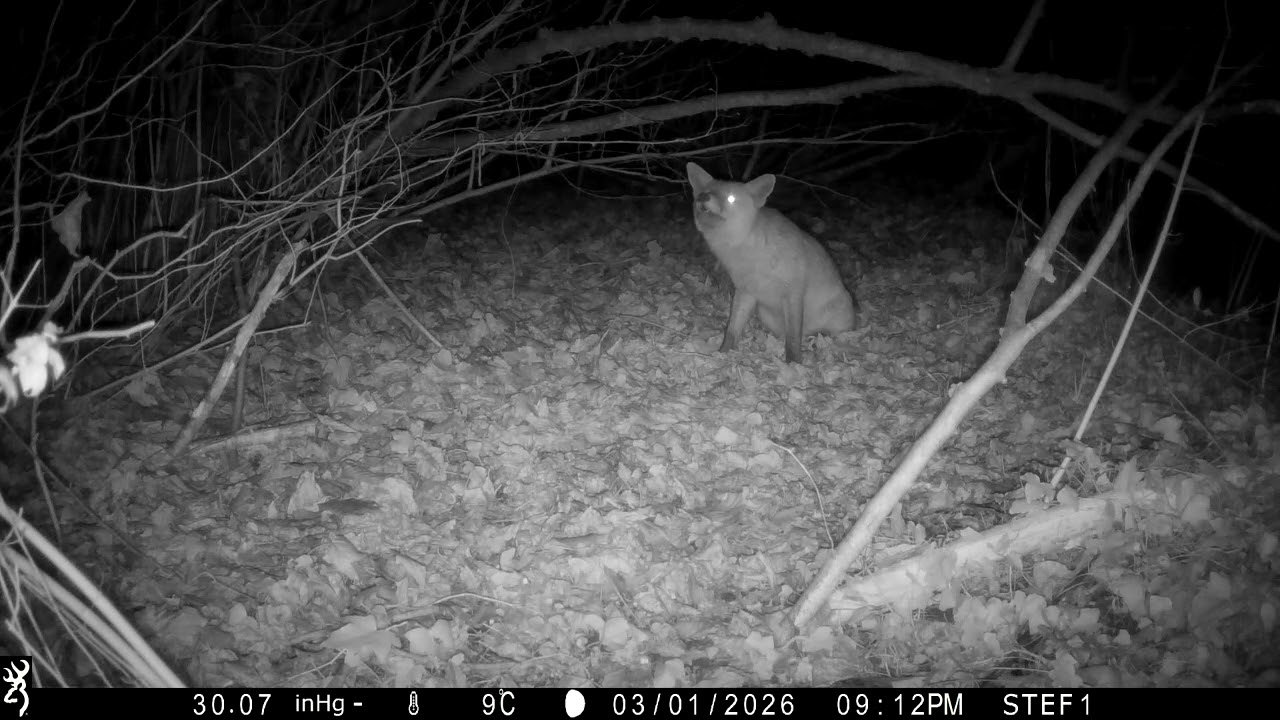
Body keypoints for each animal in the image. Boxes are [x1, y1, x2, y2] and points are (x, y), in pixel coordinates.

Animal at [686, 162, 859, 363]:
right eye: (704, 191)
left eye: (731, 198)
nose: (703, 197)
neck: (751, 257)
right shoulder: (746, 292)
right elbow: (732, 330)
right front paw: (722, 353)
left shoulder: (792, 293)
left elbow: (793, 339)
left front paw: (794, 364)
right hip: (766, 315)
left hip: (836, 321)